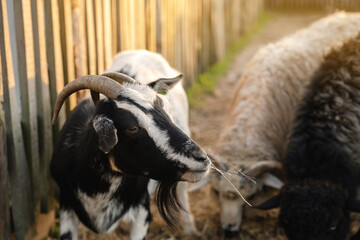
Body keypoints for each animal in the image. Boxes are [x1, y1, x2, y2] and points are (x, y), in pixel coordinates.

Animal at [49, 51, 210, 239]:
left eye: (169, 113)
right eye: (132, 127)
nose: (201, 158)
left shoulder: (142, 211)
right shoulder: (66, 206)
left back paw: (190, 229)